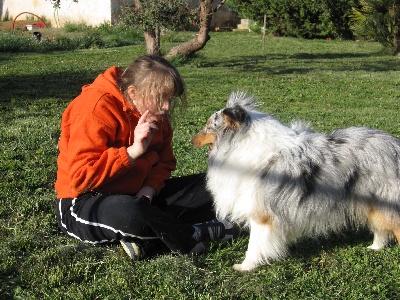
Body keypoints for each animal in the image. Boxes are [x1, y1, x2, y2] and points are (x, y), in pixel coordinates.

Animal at [193, 91, 400, 272]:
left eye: (208, 126)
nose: (191, 141)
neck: (242, 144)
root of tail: (395, 144)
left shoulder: (261, 214)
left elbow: (254, 244)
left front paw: (245, 266)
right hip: (375, 204)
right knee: (381, 229)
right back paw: (374, 247)